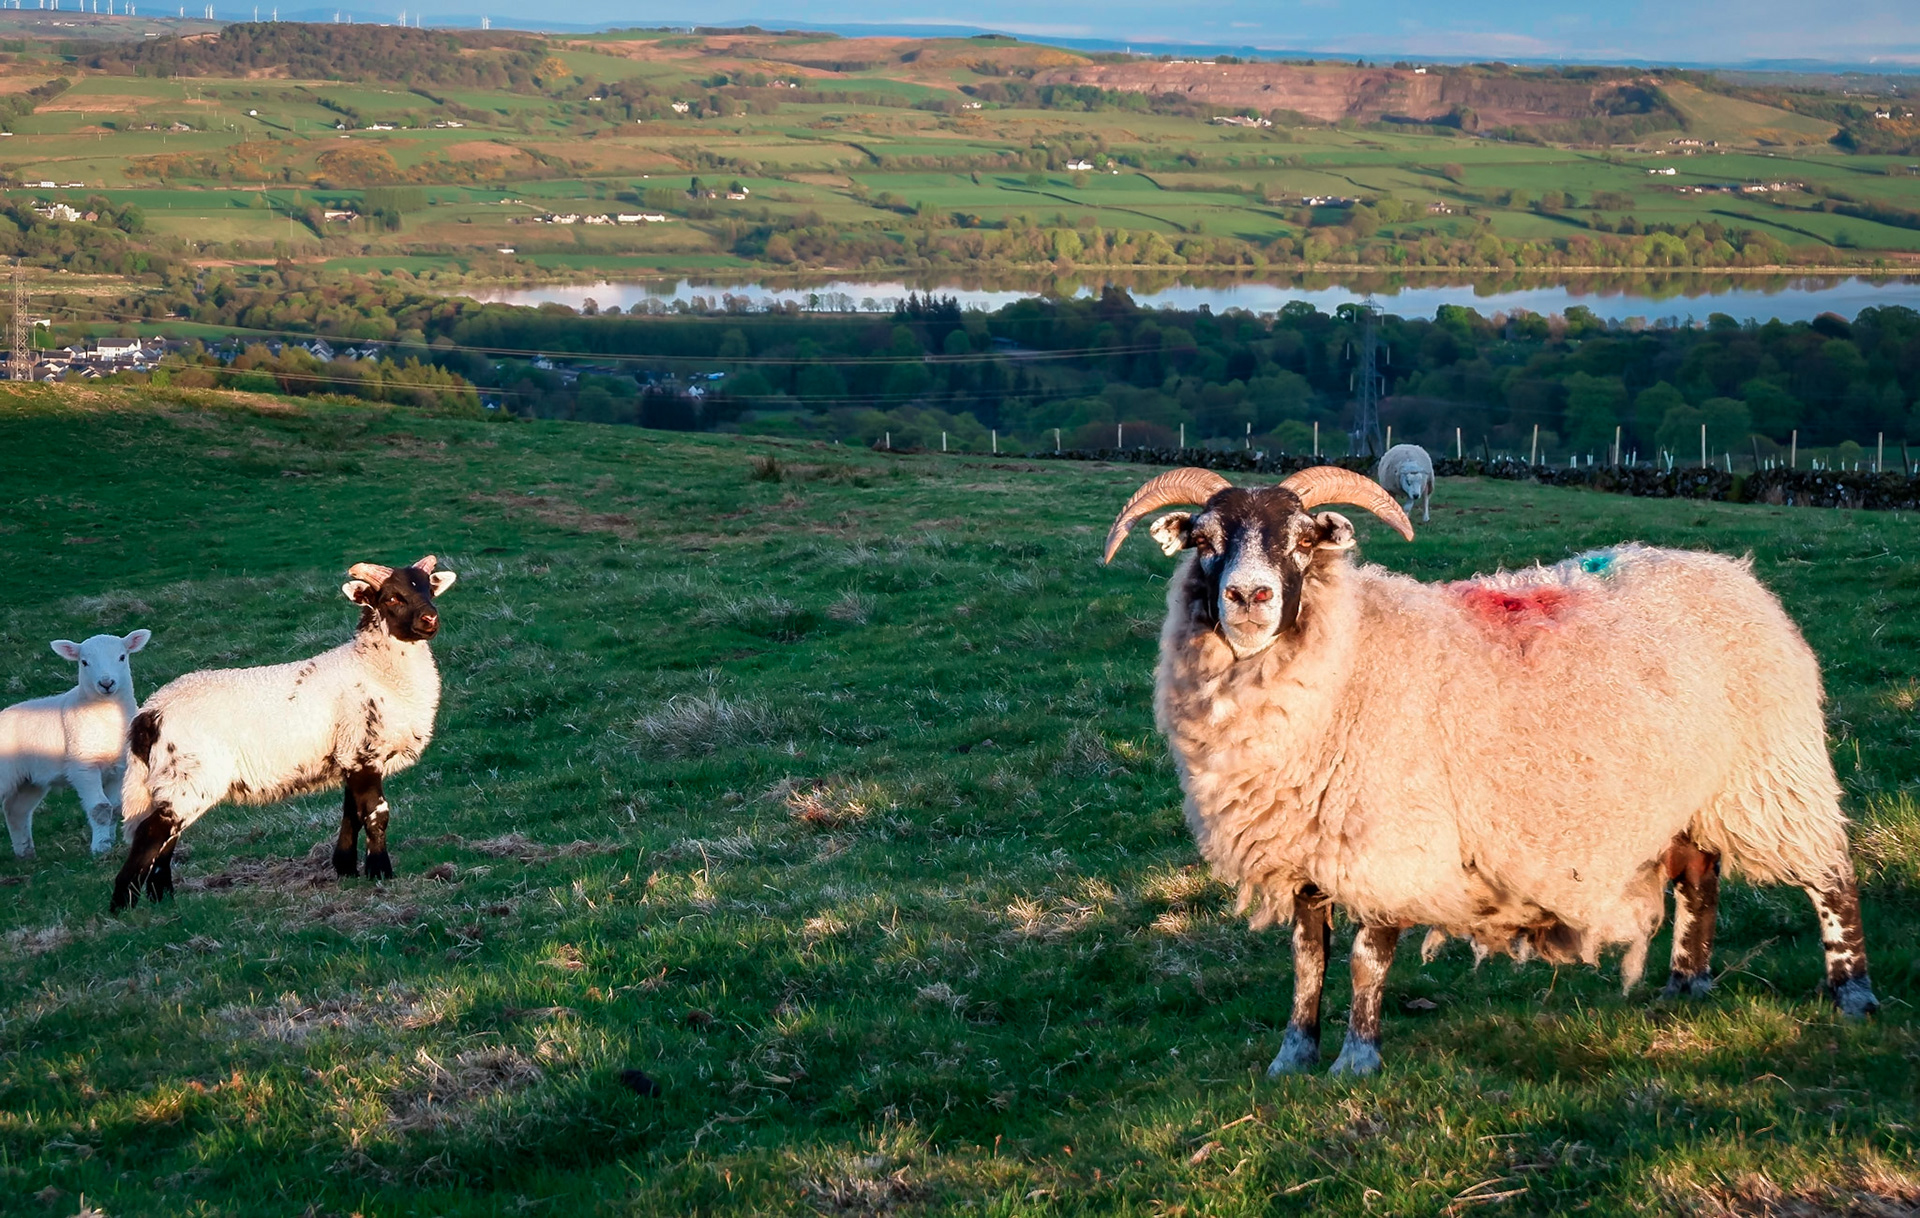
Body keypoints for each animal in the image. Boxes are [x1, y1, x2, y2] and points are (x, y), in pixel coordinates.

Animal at [1, 630, 151, 859]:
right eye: (84, 662)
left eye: (122, 657)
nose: (106, 683)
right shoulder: (83, 766)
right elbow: (100, 808)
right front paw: (100, 848)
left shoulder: (119, 768)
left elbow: (115, 808)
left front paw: (110, 842)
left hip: (29, 780)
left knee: (16, 810)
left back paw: (25, 853)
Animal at [110, 557, 456, 912]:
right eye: (392, 598)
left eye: (429, 590)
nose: (430, 619)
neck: (375, 669)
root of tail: (149, 714)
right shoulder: (363, 753)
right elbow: (376, 815)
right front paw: (380, 872)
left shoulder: (349, 755)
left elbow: (352, 813)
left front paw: (346, 868)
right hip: (188, 773)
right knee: (151, 832)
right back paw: (123, 905)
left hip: (173, 779)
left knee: (166, 837)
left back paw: (162, 897)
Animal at [1103, 465, 1877, 1077]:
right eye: (1206, 541)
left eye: (1301, 540)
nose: (1250, 597)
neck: (1353, 654)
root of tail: (1734, 573)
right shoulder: (1309, 849)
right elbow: (1306, 956)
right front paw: (1293, 1056)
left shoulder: (1392, 841)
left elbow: (1365, 957)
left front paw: (1357, 1059)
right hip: (1692, 788)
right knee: (1698, 877)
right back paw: (1685, 987)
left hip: (1773, 773)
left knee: (1830, 874)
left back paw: (1853, 994)